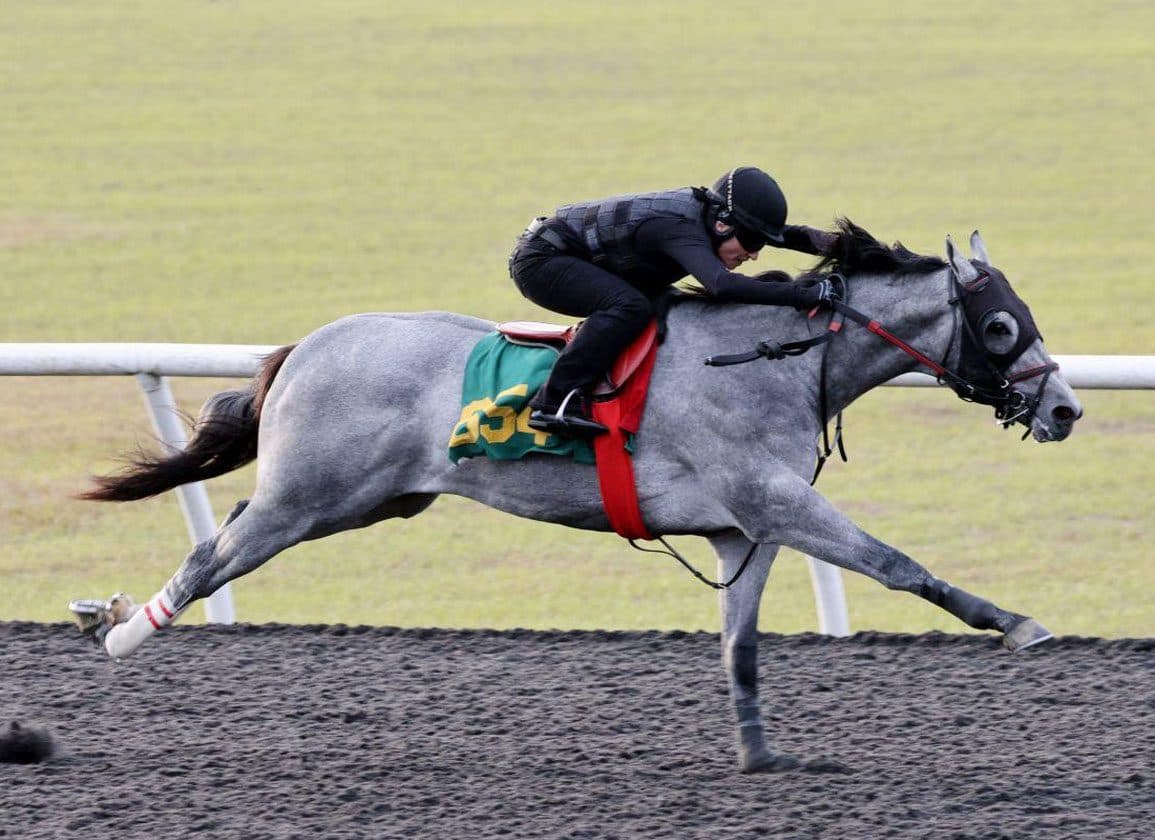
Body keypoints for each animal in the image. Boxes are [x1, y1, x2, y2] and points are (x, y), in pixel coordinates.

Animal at [75, 221, 1082, 773]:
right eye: (1000, 326)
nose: (1065, 409)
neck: (777, 361)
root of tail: (302, 348)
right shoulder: (777, 504)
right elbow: (898, 564)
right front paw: (1019, 624)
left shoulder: (742, 530)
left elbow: (741, 649)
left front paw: (761, 755)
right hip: (309, 500)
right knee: (212, 553)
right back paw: (123, 632)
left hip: (364, 500)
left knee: (227, 535)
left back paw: (111, 615)